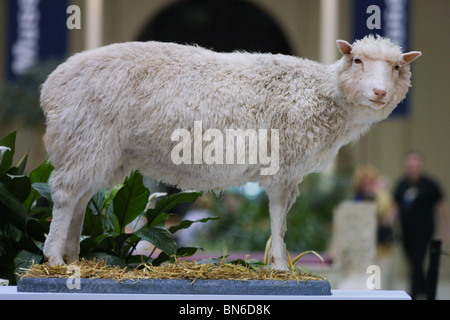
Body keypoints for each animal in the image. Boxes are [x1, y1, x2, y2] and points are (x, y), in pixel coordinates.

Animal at [41, 35, 422, 270]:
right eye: (357, 60)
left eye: (397, 68)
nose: (379, 93)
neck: (321, 93)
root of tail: (51, 85)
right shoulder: (283, 167)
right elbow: (278, 219)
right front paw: (281, 266)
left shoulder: (292, 171)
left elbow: (282, 221)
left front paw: (280, 263)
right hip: (86, 138)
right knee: (65, 195)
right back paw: (54, 259)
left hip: (101, 151)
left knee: (81, 198)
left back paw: (74, 257)